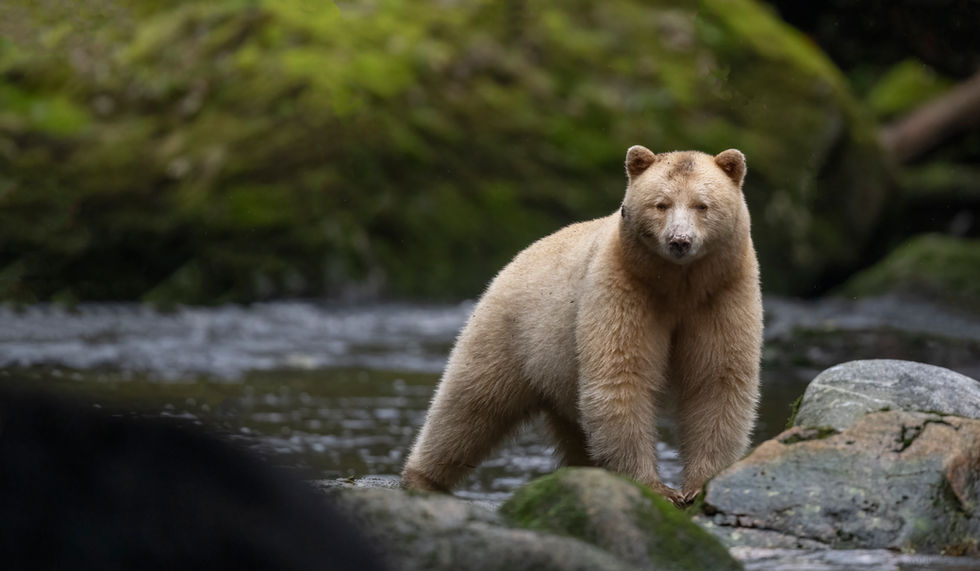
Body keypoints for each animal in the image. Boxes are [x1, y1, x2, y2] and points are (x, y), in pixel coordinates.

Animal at [401, 146, 762, 506]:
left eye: (702, 205)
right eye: (661, 203)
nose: (679, 241)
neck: (678, 284)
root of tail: (520, 255)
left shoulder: (722, 293)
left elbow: (716, 378)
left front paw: (700, 484)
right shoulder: (623, 287)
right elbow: (621, 374)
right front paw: (656, 487)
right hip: (511, 329)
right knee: (469, 404)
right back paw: (423, 478)